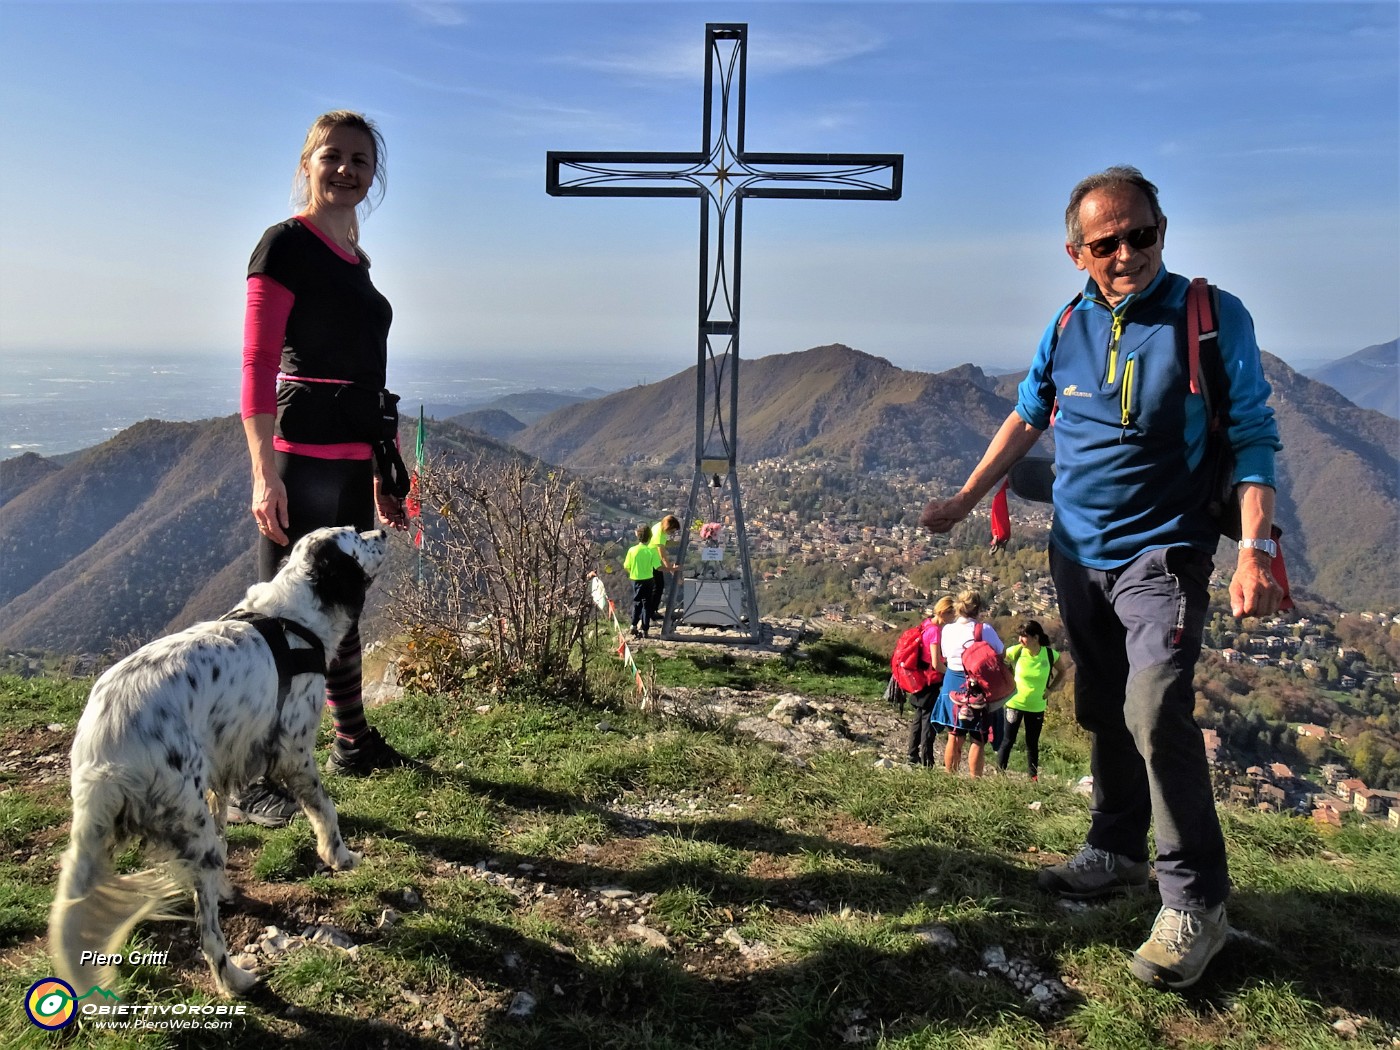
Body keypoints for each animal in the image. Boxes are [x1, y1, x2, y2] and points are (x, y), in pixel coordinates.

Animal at [49, 529, 389, 996]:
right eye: (356, 537)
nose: (384, 530)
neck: (295, 619)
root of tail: (104, 745)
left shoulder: (221, 772)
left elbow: (228, 827)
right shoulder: (294, 752)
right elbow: (326, 809)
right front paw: (340, 856)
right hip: (191, 824)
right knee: (208, 933)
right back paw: (234, 978)